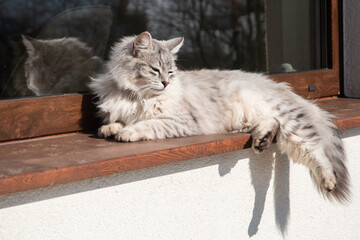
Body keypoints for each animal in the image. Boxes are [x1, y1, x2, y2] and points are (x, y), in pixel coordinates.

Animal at [88, 31, 350, 202]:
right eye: (155, 70)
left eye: (170, 72)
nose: (166, 83)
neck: (138, 96)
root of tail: (282, 87)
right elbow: (116, 121)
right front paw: (109, 129)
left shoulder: (180, 121)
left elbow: (147, 124)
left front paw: (127, 132)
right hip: (248, 119)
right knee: (271, 124)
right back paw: (261, 141)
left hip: (291, 122)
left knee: (315, 150)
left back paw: (328, 181)